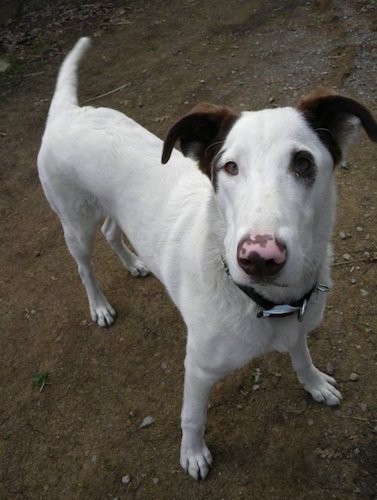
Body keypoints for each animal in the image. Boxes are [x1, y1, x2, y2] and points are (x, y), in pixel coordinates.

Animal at [36, 37, 374, 478]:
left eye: (303, 162)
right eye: (229, 167)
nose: (259, 258)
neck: (264, 303)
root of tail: (68, 113)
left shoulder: (298, 326)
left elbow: (301, 358)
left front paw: (315, 384)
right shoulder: (197, 368)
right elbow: (192, 416)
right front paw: (193, 454)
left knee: (112, 231)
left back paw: (134, 264)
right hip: (74, 223)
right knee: (83, 266)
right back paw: (100, 306)